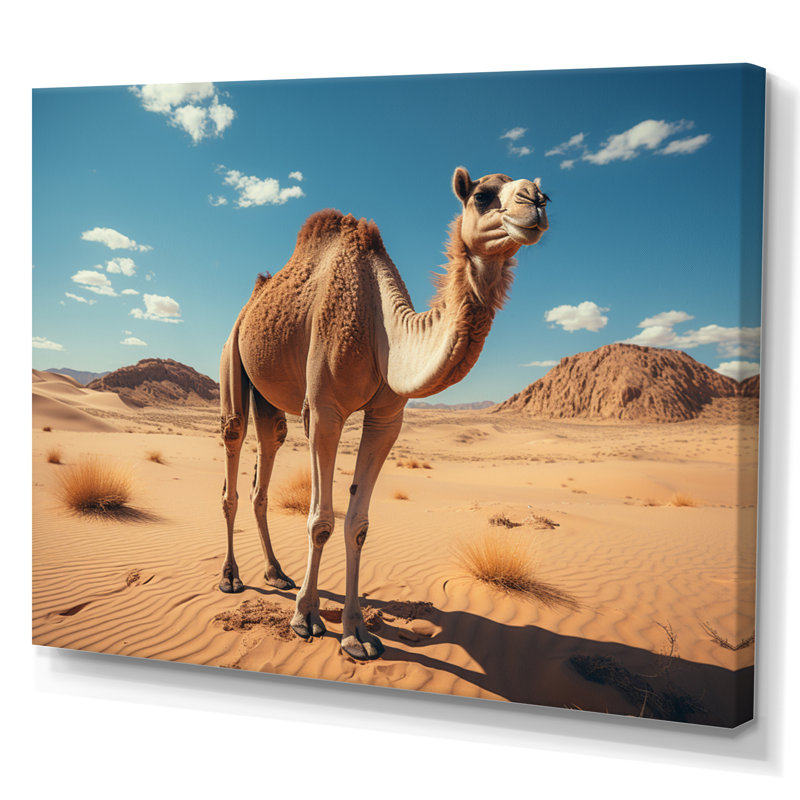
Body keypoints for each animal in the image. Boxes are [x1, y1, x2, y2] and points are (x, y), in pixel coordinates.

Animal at [218, 167, 549, 660]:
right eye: (482, 196)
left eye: (543, 193)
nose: (537, 202)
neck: (381, 327)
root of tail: (252, 301)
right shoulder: (325, 409)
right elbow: (321, 520)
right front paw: (306, 618)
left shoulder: (387, 418)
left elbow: (357, 524)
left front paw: (356, 633)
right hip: (232, 355)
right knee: (234, 445)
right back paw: (231, 577)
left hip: (268, 394)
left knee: (268, 451)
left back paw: (276, 573)